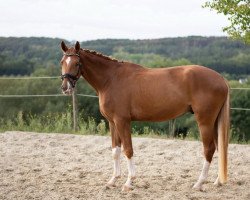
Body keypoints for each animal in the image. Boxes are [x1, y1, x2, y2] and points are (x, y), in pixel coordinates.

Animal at [59, 40, 229, 191]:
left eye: (77, 63)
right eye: (62, 62)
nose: (65, 88)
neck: (111, 79)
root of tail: (221, 79)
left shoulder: (122, 121)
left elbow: (128, 150)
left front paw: (129, 182)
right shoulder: (112, 123)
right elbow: (115, 151)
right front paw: (113, 180)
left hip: (205, 121)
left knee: (209, 149)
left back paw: (199, 184)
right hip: (214, 122)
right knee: (219, 147)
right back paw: (217, 182)